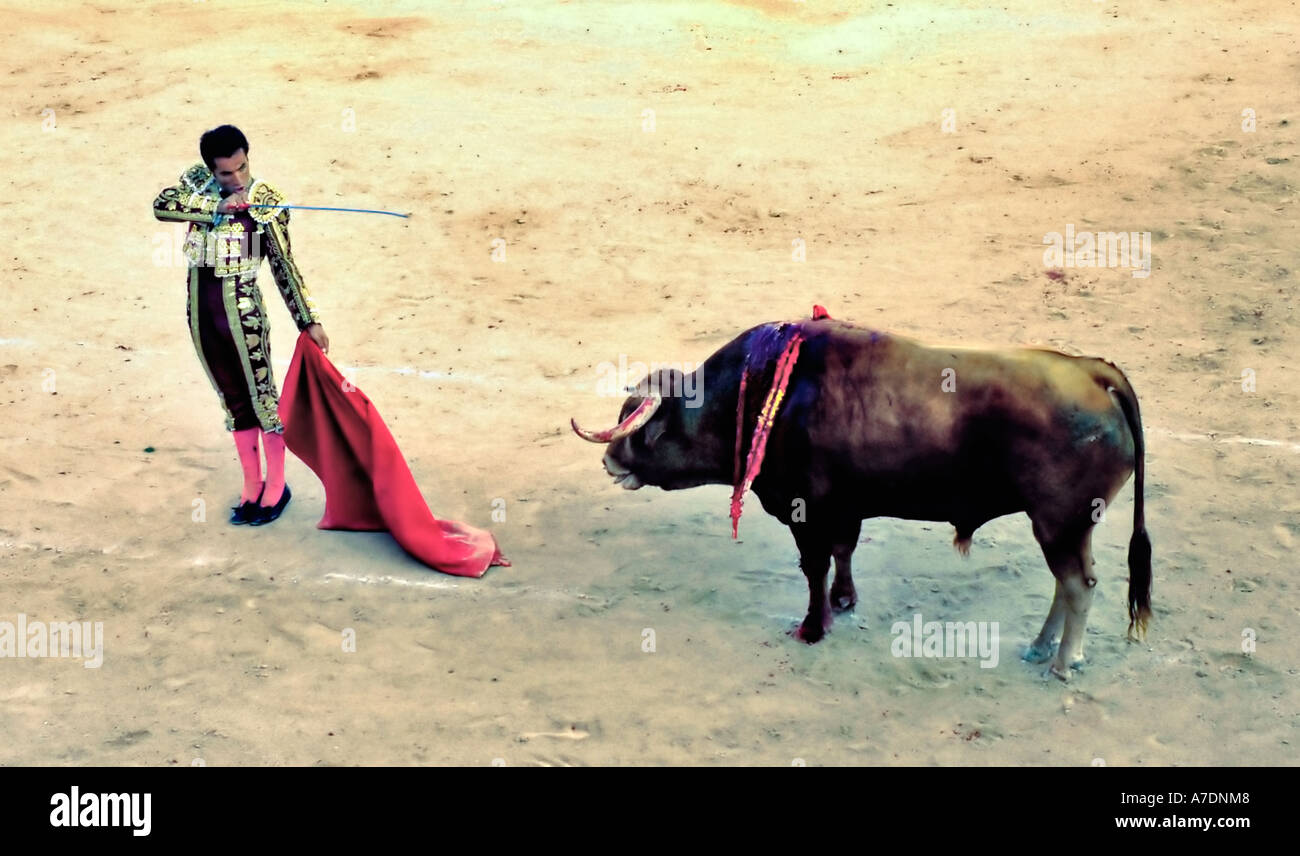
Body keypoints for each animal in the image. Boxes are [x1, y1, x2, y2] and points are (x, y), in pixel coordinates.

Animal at [569, 309, 1149, 676]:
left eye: (644, 427)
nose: (608, 459)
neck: (758, 393)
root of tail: (1096, 374)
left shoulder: (805, 512)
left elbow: (814, 566)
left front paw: (812, 626)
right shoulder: (844, 508)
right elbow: (843, 553)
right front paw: (843, 602)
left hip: (1058, 523)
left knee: (1078, 586)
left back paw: (1062, 662)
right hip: (1069, 526)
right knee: (1069, 584)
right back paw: (1040, 647)